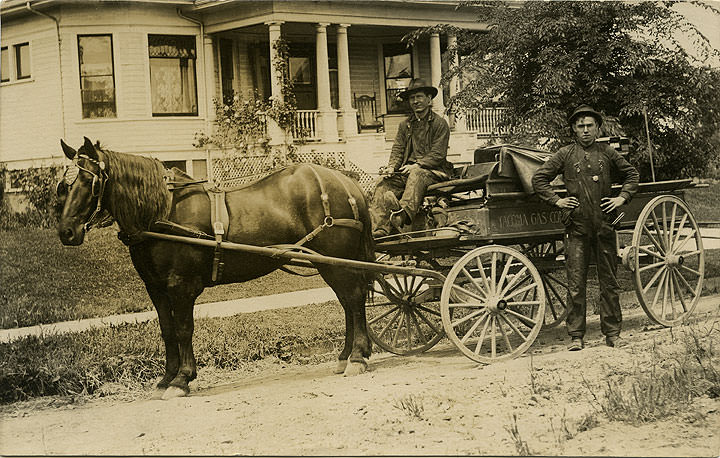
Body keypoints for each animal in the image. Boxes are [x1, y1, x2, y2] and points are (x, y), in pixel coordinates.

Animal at [56, 138, 376, 398]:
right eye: (62, 186)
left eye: (89, 182)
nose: (66, 232)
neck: (163, 210)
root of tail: (345, 181)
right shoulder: (156, 288)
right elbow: (167, 330)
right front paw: (166, 378)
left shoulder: (181, 286)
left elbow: (184, 329)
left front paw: (182, 379)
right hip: (329, 262)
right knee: (347, 302)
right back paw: (346, 355)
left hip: (337, 260)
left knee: (354, 299)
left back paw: (357, 356)